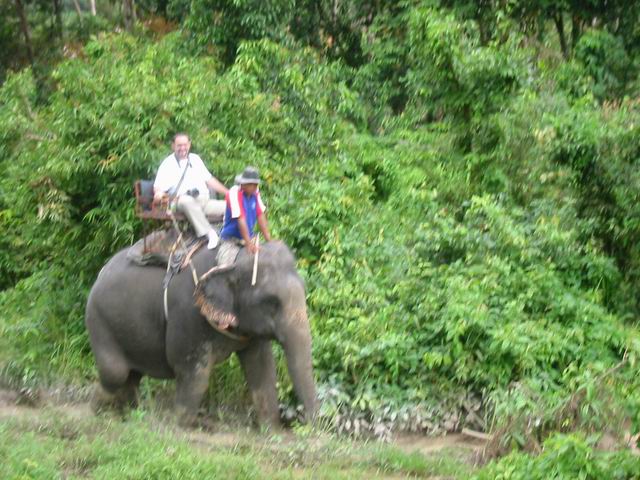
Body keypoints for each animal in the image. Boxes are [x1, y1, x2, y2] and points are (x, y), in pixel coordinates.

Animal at [84, 239, 317, 427]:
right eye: (270, 302)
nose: (304, 420)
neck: (233, 260)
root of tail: (100, 272)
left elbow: (262, 370)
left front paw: (271, 430)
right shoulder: (189, 312)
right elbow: (193, 372)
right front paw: (178, 425)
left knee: (131, 375)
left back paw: (125, 415)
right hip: (98, 319)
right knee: (116, 373)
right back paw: (95, 412)